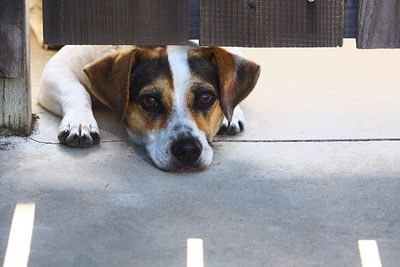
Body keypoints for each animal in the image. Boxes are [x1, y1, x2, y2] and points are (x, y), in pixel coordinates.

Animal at [39, 43, 260, 171]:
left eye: (206, 97)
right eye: (149, 101)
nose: (188, 150)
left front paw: (230, 112)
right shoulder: (56, 68)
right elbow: (77, 90)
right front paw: (79, 123)